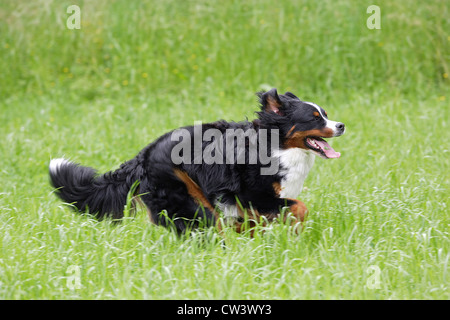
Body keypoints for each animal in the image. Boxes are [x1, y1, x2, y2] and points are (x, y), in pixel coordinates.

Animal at [49, 89, 344, 234]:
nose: (341, 125)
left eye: (325, 114)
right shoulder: (253, 196)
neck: (275, 146)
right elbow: (300, 207)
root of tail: (142, 157)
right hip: (187, 197)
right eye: (314, 118)